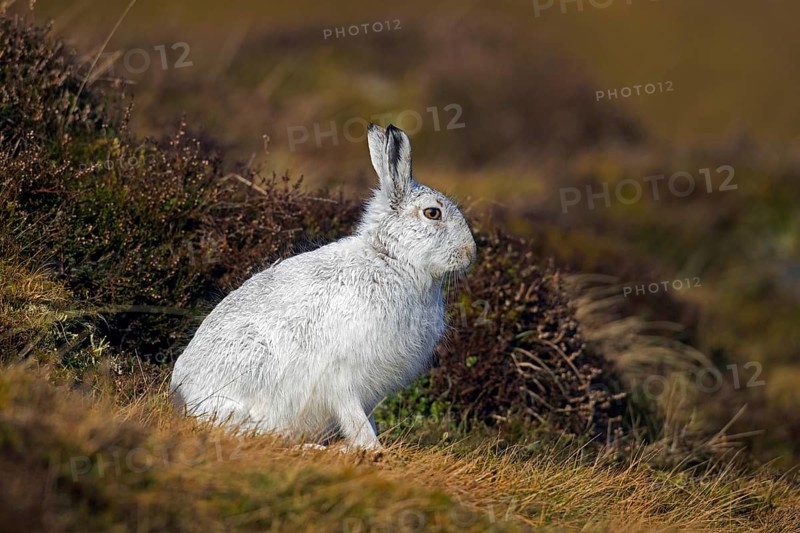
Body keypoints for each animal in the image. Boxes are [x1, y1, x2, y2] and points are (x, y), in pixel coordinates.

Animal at [169, 123, 477, 450]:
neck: (391, 258)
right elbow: (354, 417)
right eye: (433, 213)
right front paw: (371, 449)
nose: (471, 253)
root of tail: (182, 395)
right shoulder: (343, 377)